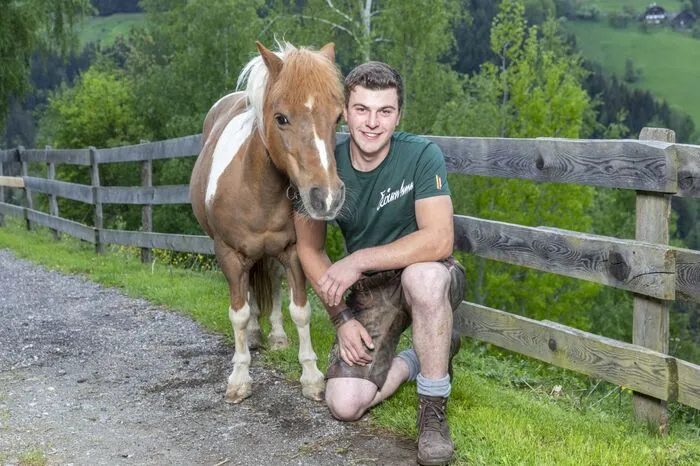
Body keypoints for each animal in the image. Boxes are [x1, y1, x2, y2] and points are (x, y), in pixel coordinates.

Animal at [190, 41, 345, 404]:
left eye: (338, 117)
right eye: (281, 118)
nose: (327, 197)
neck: (255, 189)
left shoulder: (293, 251)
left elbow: (300, 310)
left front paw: (311, 376)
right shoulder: (229, 255)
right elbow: (239, 313)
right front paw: (239, 378)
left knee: (271, 280)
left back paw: (274, 334)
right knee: (248, 294)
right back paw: (255, 334)